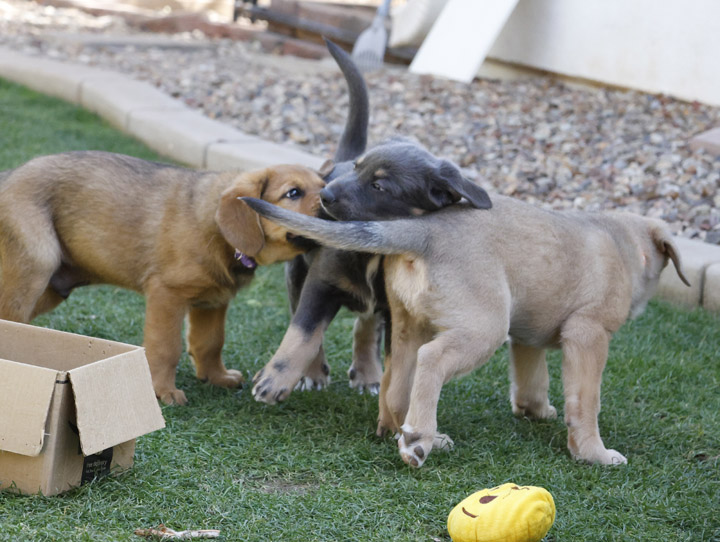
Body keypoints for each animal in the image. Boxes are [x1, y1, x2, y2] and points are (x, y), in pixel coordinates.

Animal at [0, 151, 324, 406]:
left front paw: (216, 377)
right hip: (35, 269)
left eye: (323, 187)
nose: (331, 204)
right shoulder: (167, 294)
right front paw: (163, 391)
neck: (217, 228)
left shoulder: (213, 302)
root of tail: (8, 176)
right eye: (293, 193)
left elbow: (210, 343)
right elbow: (167, 348)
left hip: (54, 286)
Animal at [243, 147, 692, 470]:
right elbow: (585, 402)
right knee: (432, 360)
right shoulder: (588, 335)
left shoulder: (525, 338)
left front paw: (536, 411)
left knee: (395, 387)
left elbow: (532, 381)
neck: (623, 246)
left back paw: (409, 432)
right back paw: (419, 441)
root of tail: (422, 231)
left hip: (408, 326)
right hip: (484, 327)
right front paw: (594, 453)